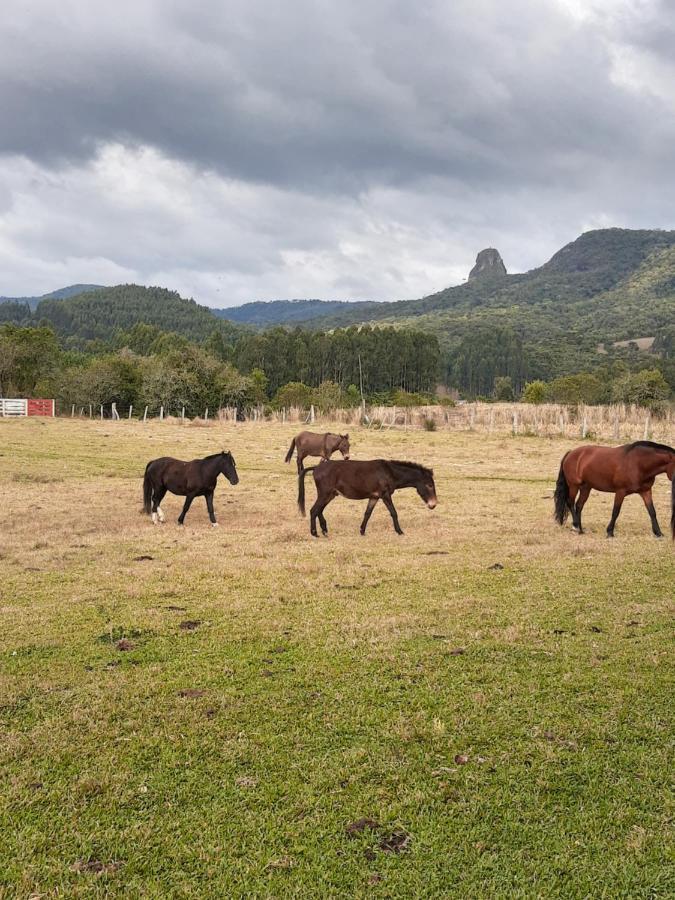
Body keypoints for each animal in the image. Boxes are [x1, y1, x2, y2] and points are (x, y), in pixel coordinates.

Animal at [298, 458, 436, 536]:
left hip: (330, 495)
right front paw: (400, 531)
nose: (433, 504)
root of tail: (316, 467)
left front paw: (362, 531)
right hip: (325, 494)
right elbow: (393, 512)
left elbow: (367, 514)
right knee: (314, 510)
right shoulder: (385, 495)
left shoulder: (374, 497)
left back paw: (325, 531)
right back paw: (314, 533)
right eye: (429, 485)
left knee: (319, 510)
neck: (389, 472)